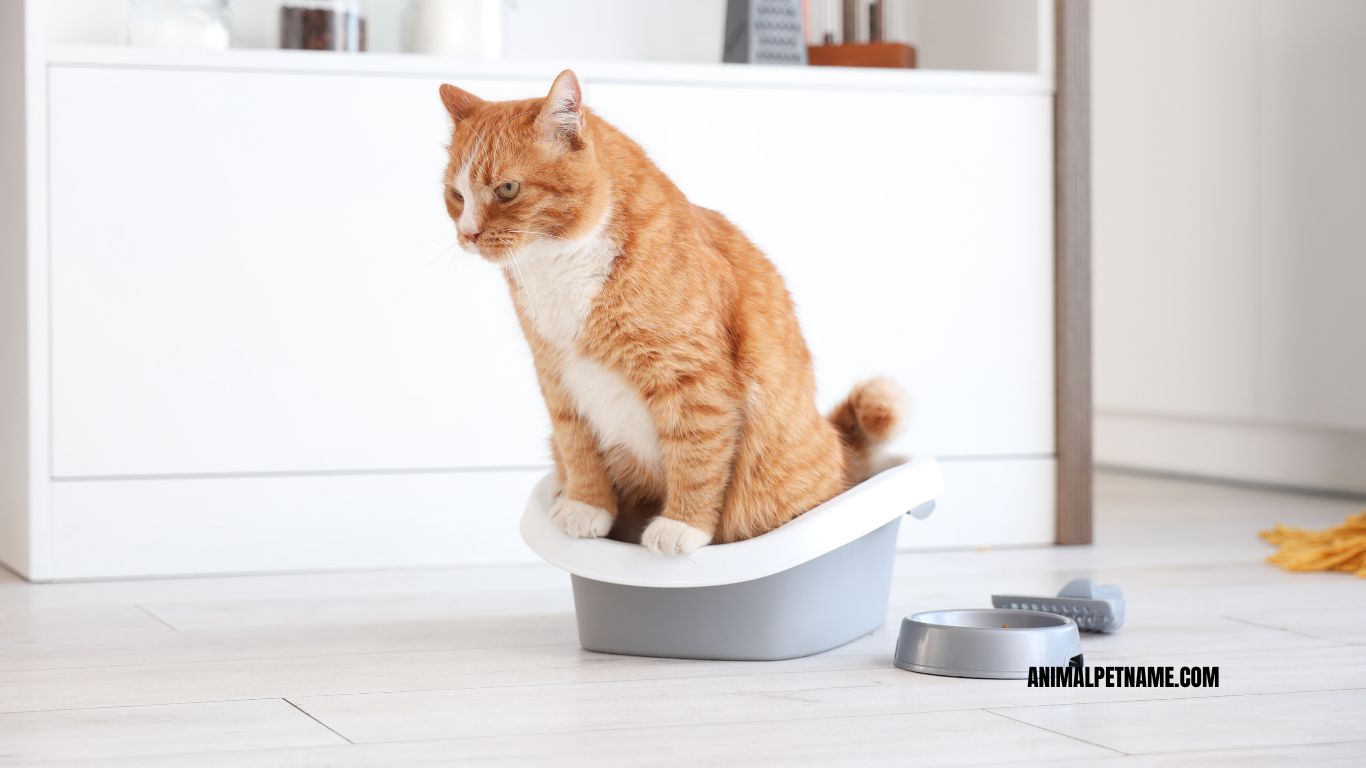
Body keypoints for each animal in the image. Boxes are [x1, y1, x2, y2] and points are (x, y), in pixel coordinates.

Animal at [439, 70, 907, 549]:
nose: (467, 233)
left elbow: (696, 456)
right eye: (456, 195)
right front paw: (586, 507)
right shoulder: (556, 376)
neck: (559, 265)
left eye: (507, 189)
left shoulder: (692, 377)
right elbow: (578, 447)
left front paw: (683, 526)